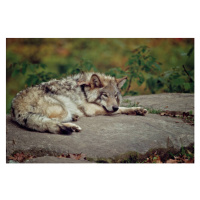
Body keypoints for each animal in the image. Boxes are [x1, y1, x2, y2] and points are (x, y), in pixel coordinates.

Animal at [11, 72, 148, 134]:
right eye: (105, 95)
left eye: (115, 95)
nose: (114, 107)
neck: (84, 90)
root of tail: (15, 105)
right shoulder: (91, 109)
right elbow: (121, 108)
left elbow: (123, 107)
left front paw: (138, 110)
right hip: (63, 110)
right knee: (53, 122)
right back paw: (72, 126)